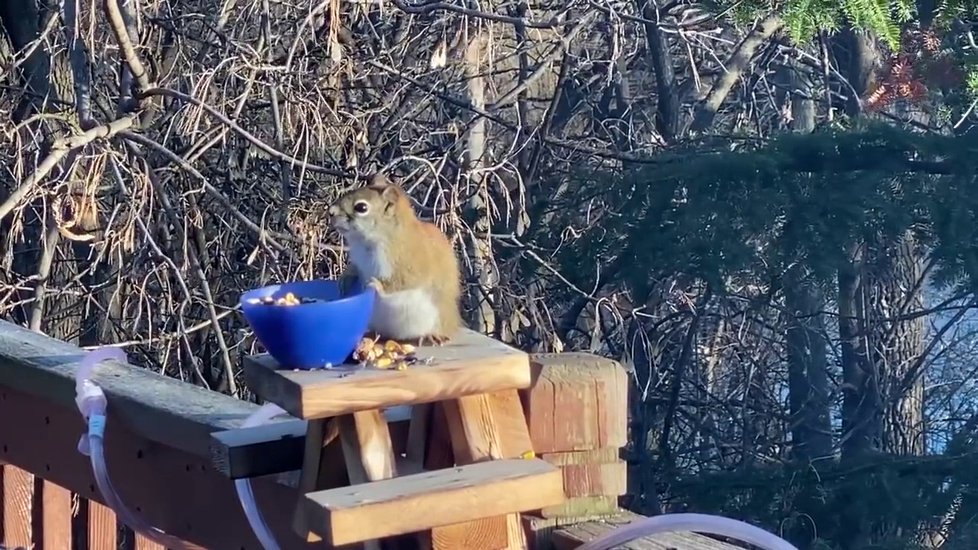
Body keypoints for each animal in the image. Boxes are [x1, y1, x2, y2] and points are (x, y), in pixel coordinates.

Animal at [328, 175, 466, 348]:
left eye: (361, 207)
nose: (330, 212)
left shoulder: (410, 264)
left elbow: (401, 282)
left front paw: (376, 284)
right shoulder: (360, 260)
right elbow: (356, 268)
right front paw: (346, 277)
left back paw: (431, 336)